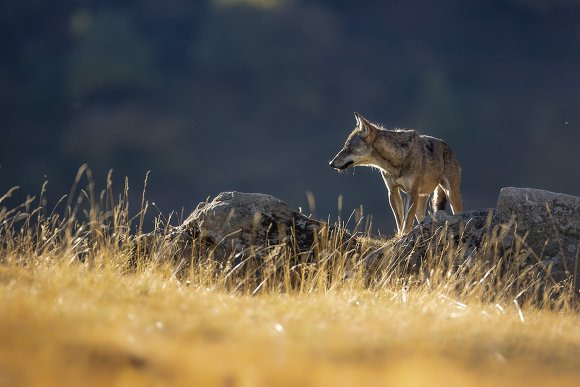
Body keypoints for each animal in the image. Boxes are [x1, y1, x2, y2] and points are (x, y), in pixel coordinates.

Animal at [330, 112, 462, 233]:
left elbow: (407, 221)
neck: (397, 161)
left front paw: (404, 235)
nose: (331, 163)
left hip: (451, 194)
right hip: (422, 200)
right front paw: (399, 236)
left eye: (348, 147)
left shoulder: (412, 192)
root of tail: (449, 148)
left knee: (458, 211)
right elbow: (400, 222)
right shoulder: (392, 191)